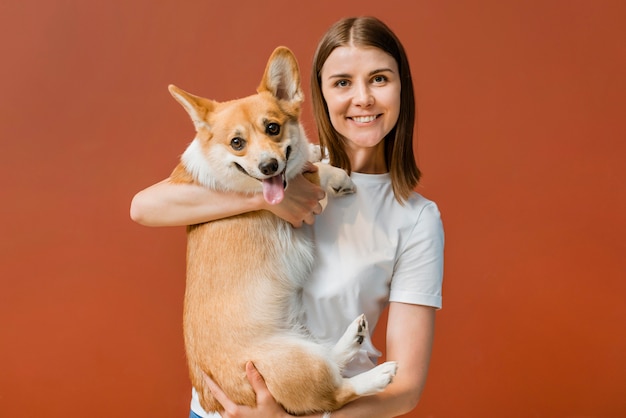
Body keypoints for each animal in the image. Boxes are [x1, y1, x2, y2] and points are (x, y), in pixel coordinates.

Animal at [166, 46, 398, 414]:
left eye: (273, 127)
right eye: (236, 142)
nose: (269, 166)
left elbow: (308, 159)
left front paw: (315, 150)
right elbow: (314, 172)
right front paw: (334, 174)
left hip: (304, 352)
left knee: (332, 367)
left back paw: (353, 338)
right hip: (296, 360)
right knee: (335, 392)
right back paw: (377, 375)